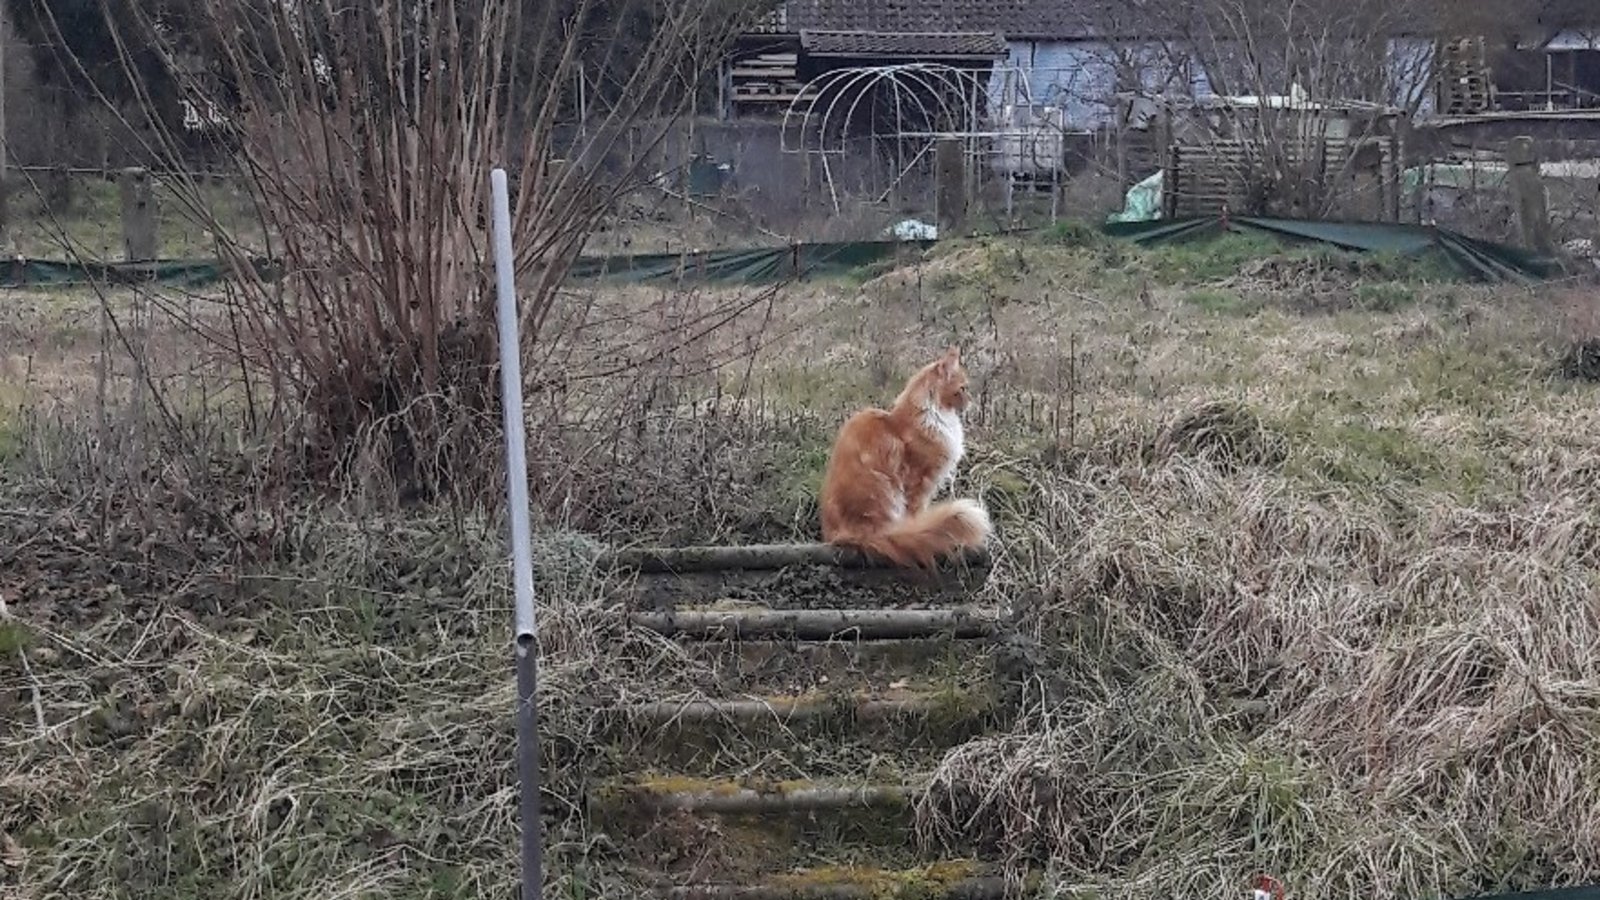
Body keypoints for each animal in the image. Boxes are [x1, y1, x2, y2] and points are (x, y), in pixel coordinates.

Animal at [818, 346, 992, 568]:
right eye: (963, 388)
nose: (972, 402)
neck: (932, 417)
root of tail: (839, 536)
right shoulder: (919, 482)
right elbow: (916, 515)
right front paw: (921, 527)